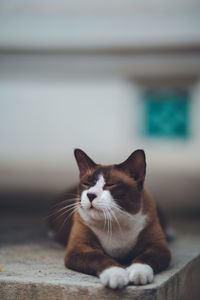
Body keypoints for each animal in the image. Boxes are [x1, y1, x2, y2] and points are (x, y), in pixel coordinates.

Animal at [47, 149, 170, 290]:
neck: (115, 223)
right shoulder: (79, 249)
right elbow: (98, 257)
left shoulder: (158, 247)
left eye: (110, 185)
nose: (90, 195)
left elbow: (146, 258)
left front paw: (138, 273)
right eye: (86, 184)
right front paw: (116, 274)